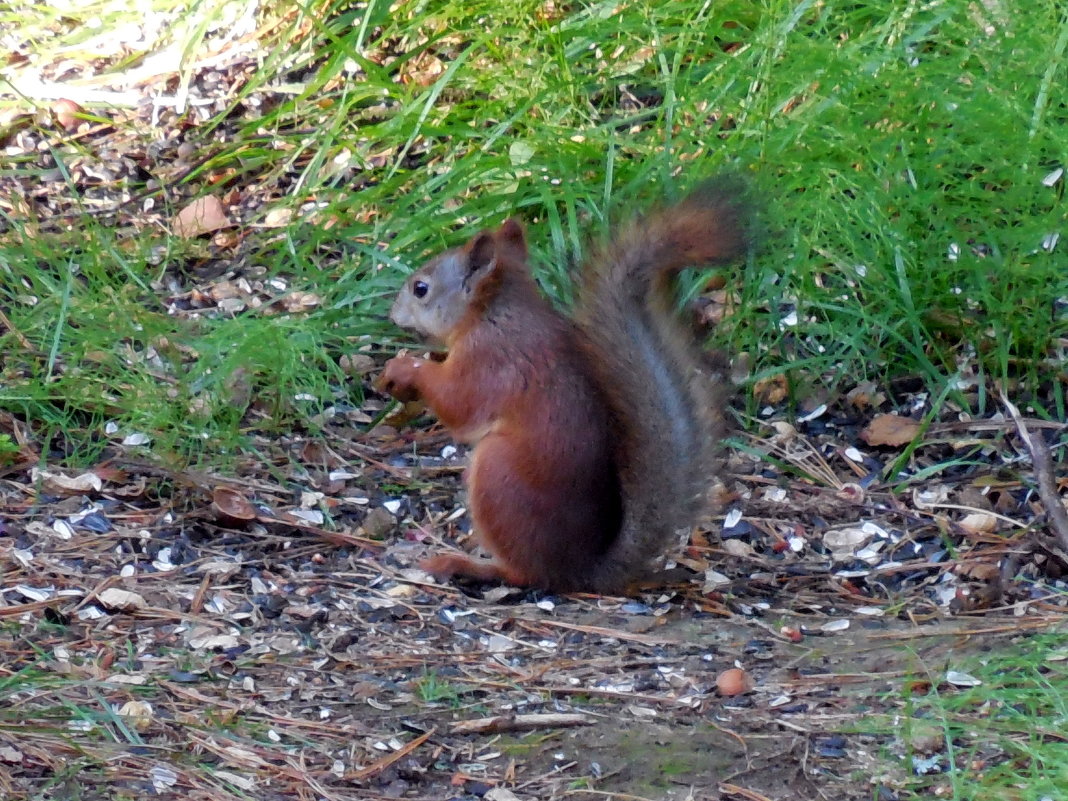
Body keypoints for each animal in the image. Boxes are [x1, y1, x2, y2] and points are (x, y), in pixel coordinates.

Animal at [380, 183, 747, 598]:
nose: (392, 314)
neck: (494, 313)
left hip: (498, 475)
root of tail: (581, 571)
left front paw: (407, 369)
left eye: (420, 289)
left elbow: (458, 406)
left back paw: (469, 565)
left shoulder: (491, 362)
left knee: (526, 574)